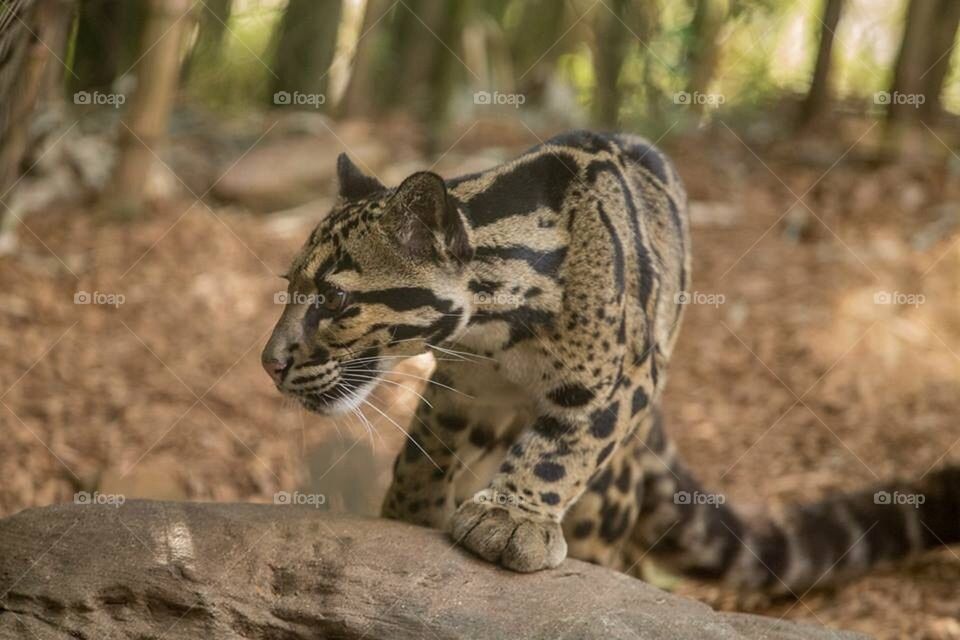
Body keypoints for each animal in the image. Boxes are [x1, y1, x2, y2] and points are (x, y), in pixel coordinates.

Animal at [263, 130, 960, 593]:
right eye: (290, 285)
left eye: (334, 298)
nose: (269, 362)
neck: (494, 333)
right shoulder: (464, 387)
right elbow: (426, 450)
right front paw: (410, 514)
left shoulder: (621, 379)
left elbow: (560, 449)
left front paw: (509, 518)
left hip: (615, 481)